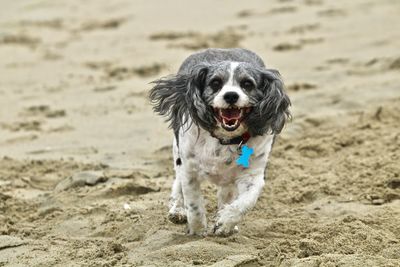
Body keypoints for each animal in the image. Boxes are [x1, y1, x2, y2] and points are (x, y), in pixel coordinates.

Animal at [150, 48, 290, 237]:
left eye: (247, 84)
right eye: (215, 83)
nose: (231, 95)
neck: (225, 139)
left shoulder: (253, 175)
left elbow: (245, 202)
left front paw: (225, 223)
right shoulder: (189, 169)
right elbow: (193, 204)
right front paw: (197, 231)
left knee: (226, 193)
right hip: (177, 152)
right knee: (178, 182)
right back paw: (177, 210)